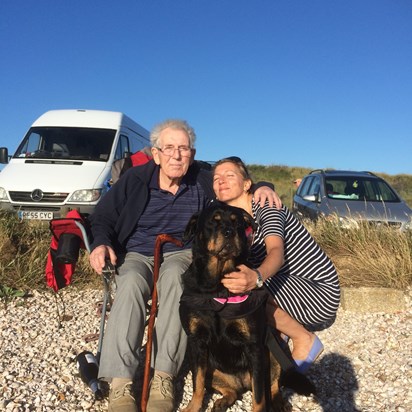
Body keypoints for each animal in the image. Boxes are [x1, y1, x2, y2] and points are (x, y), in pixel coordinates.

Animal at [179, 204, 316, 412]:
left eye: (237, 223)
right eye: (213, 221)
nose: (229, 232)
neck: (219, 287)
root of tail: (243, 383)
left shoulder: (254, 345)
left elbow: (259, 395)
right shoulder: (197, 342)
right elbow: (198, 382)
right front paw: (193, 407)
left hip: (273, 353)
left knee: (272, 385)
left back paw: (279, 402)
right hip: (214, 367)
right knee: (230, 390)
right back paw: (223, 401)